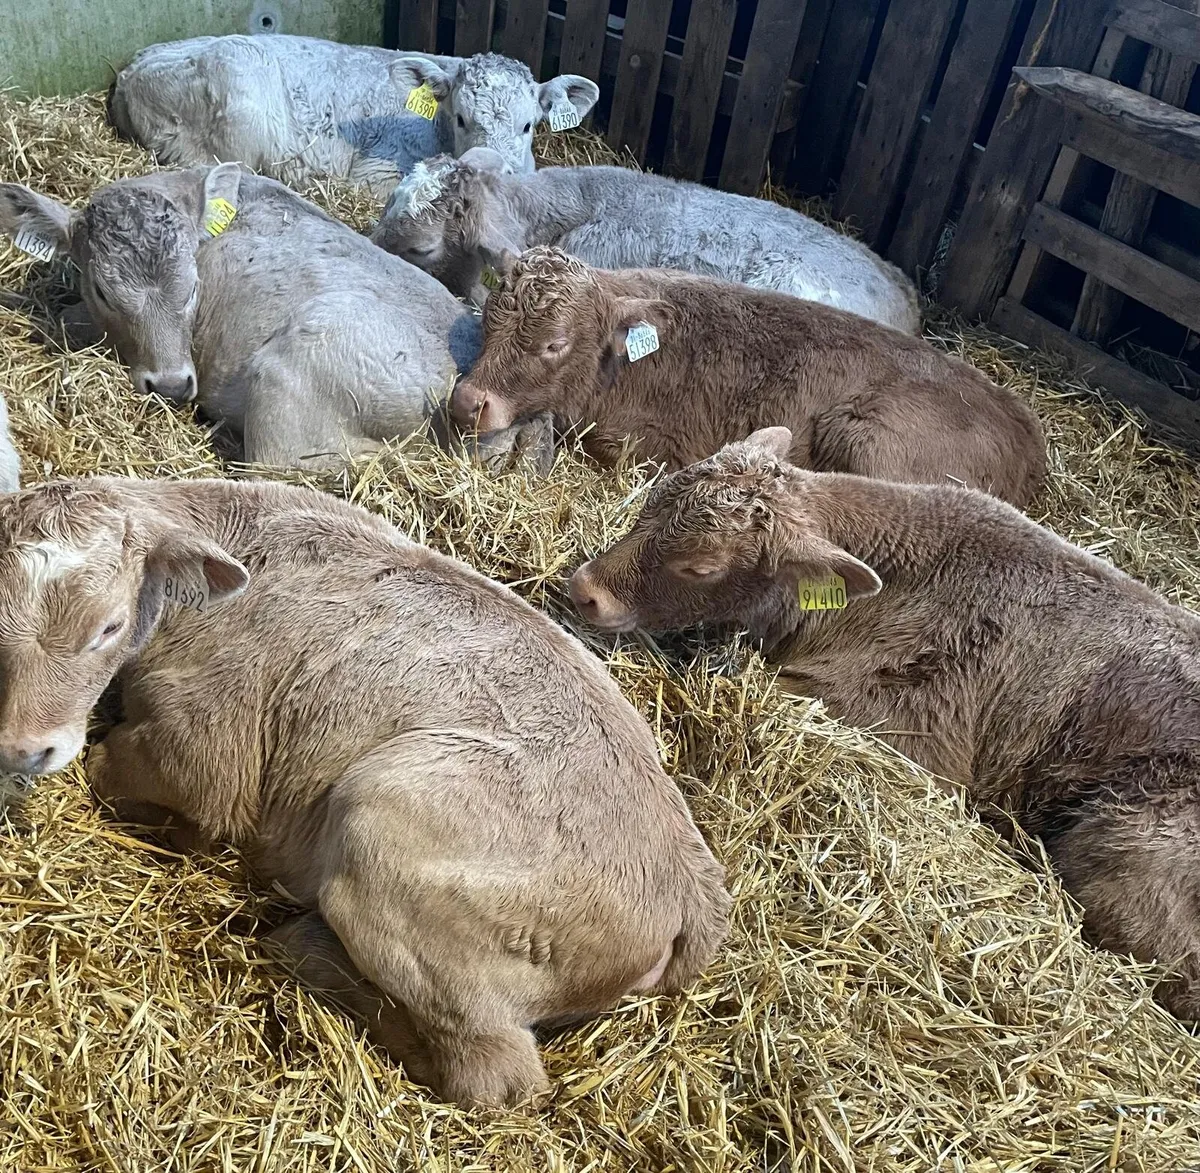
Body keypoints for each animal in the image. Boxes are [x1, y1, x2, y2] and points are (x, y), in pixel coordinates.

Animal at [0, 475, 730, 1106]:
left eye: (109, 626)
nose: (22, 749)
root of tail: (694, 886)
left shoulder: (203, 757)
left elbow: (110, 770)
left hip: (381, 819)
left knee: (494, 1077)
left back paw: (306, 946)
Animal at [449, 247, 1045, 507]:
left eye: (555, 343)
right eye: (489, 319)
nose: (468, 401)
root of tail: (1024, 429)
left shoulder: (655, 446)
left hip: (869, 439)